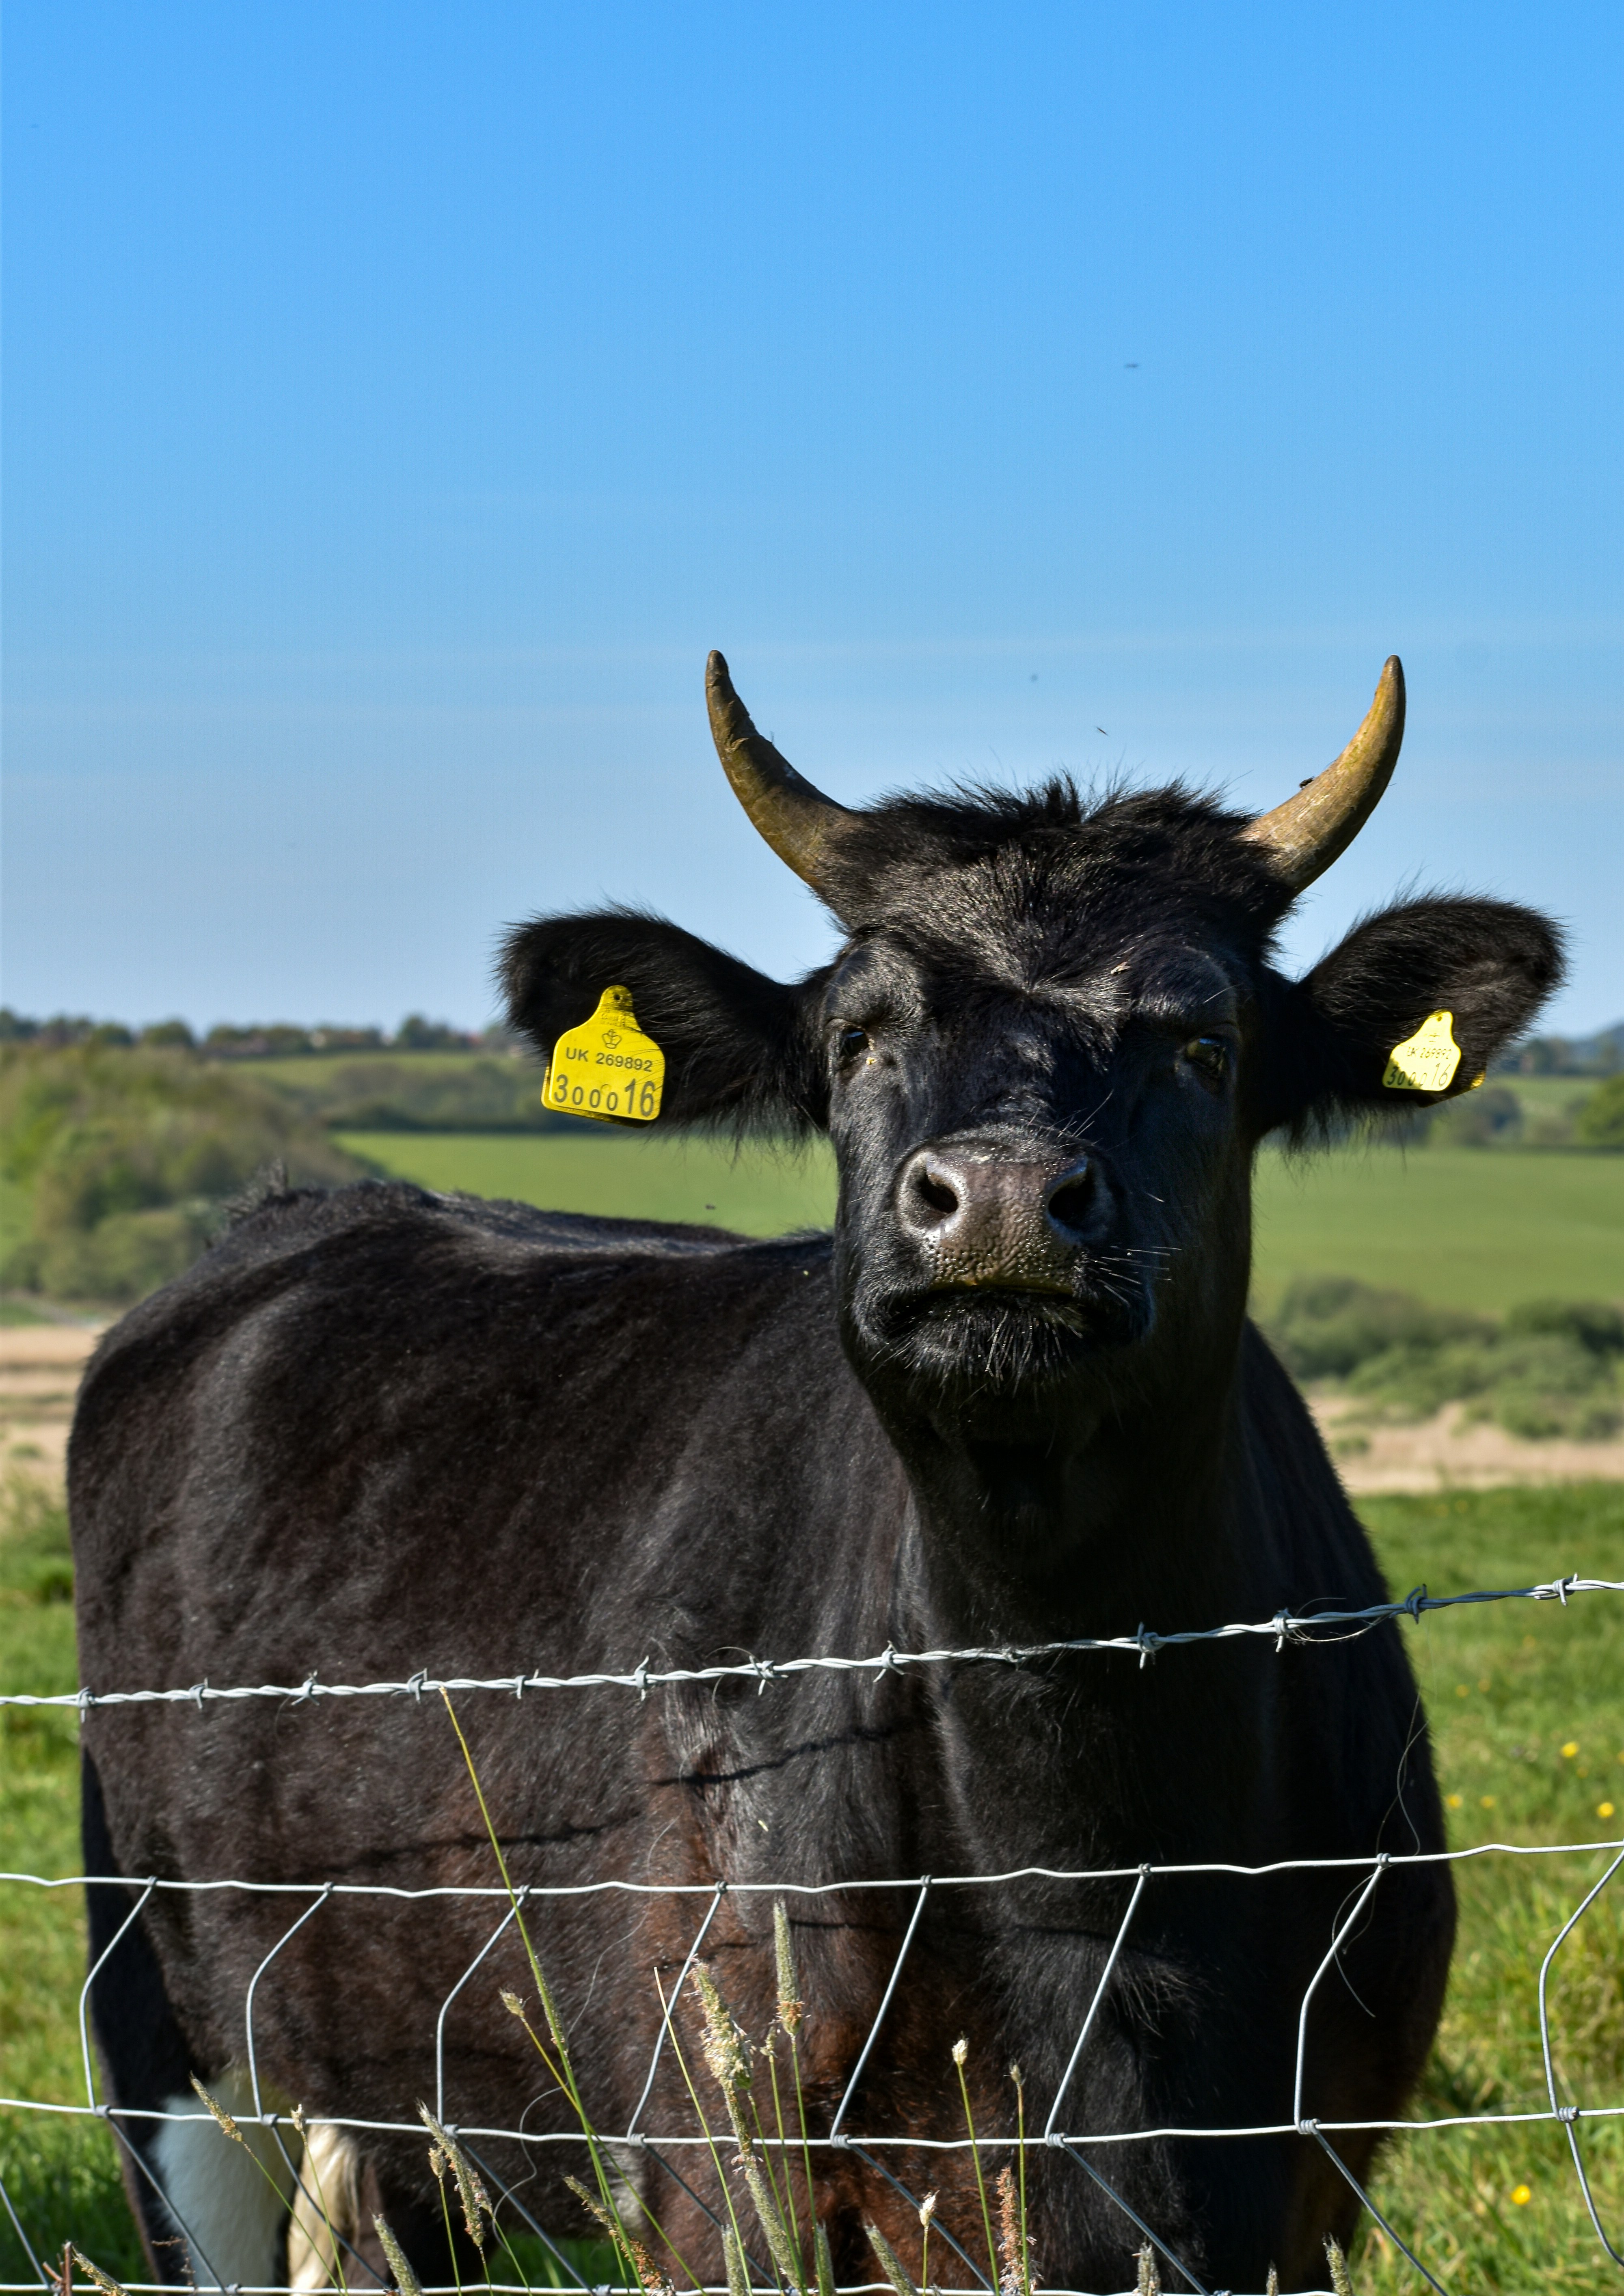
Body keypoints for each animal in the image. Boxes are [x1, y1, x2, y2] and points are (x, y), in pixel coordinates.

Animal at [73, 647, 1562, 2296]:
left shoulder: (1299, 2185)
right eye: (858, 1040)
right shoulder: (727, 2163)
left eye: (1202, 1039)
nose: (995, 1196)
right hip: (161, 2040)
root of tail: (310, 1211)